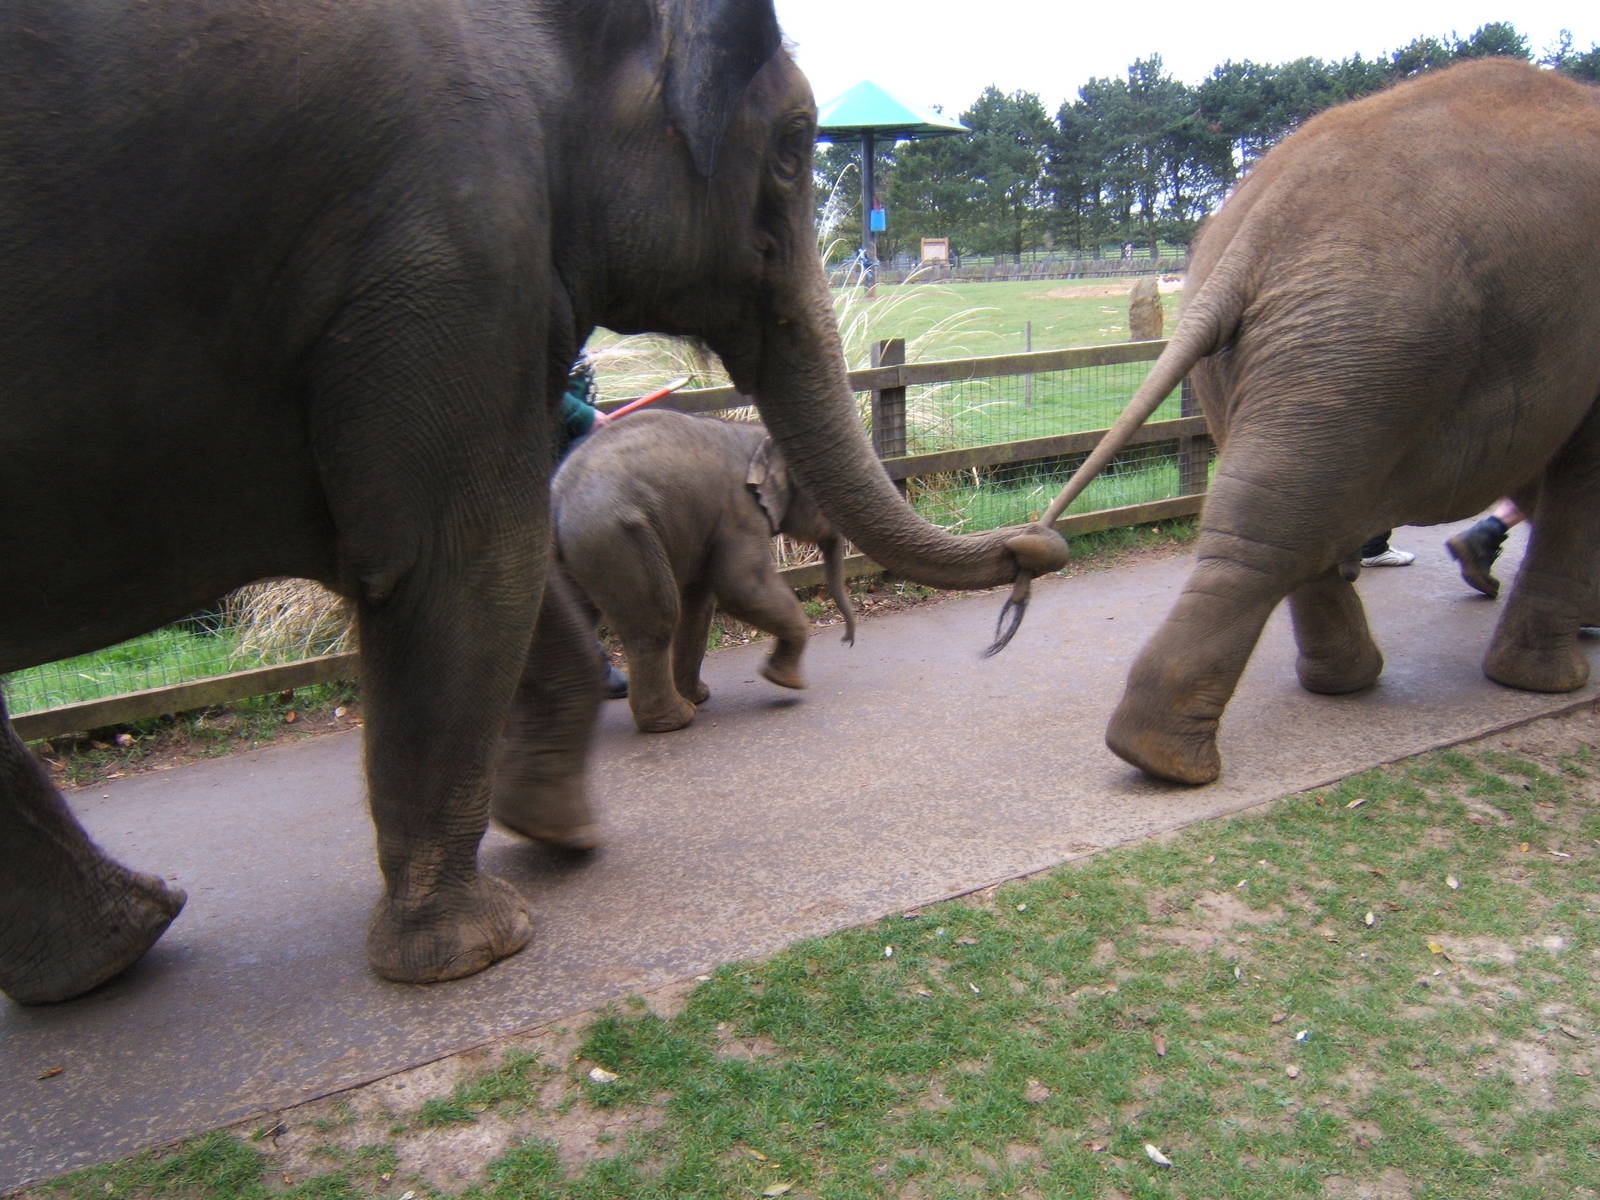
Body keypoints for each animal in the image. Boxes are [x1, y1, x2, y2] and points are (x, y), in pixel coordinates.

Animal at [553, 409, 856, 734]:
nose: (846, 641)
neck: (758, 435)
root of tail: (558, 497)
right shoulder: (740, 512)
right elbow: (742, 588)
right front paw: (789, 682)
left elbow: (700, 603)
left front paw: (702, 695)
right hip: (614, 539)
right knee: (657, 619)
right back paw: (675, 720)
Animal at [1041, 58, 1600, 786]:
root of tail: (1261, 224)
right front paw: (1549, 680)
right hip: (1369, 334)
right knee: (1284, 523)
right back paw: (1172, 760)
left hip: (1304, 353)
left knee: (1289, 510)